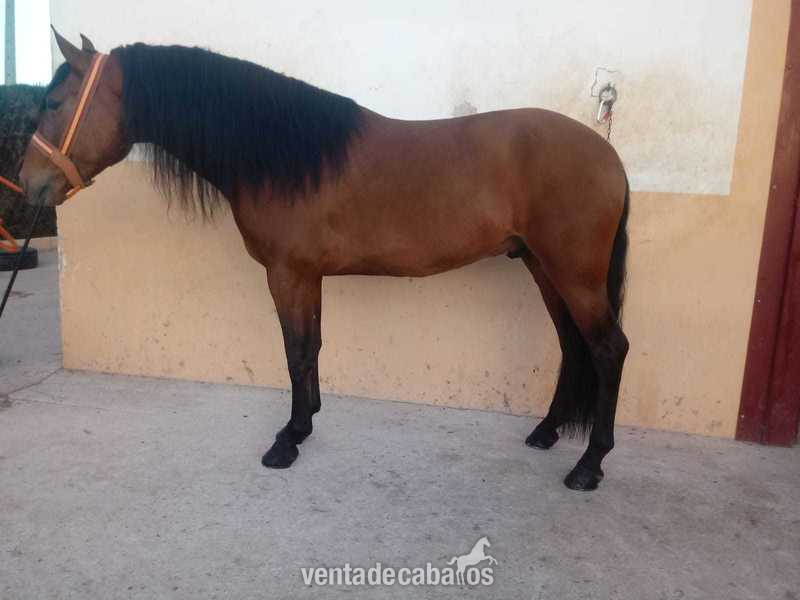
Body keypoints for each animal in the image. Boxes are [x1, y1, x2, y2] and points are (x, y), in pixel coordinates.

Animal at [19, 31, 630, 491]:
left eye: (54, 103)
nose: (28, 183)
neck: (282, 153)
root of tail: (608, 155)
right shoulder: (307, 275)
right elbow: (310, 347)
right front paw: (306, 423)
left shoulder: (287, 273)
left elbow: (294, 352)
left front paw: (286, 440)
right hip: (543, 268)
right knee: (570, 344)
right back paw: (547, 432)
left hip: (573, 274)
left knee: (607, 349)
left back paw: (589, 465)